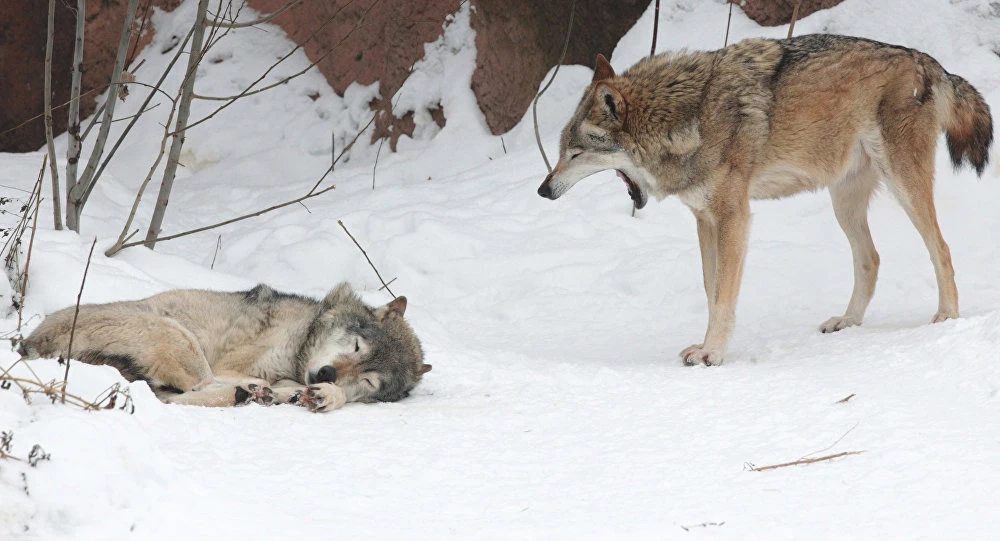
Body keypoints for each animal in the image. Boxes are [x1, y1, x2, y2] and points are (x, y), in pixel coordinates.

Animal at [18, 282, 431, 412]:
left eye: (370, 380)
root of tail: (29, 343)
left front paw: (327, 394)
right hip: (177, 335)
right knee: (194, 393)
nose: (327, 373)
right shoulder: (231, 365)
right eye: (358, 346)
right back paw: (247, 394)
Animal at [537, 34, 993, 365]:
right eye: (561, 151)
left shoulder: (734, 216)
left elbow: (724, 295)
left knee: (941, 248)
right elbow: (712, 290)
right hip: (843, 203)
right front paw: (706, 345)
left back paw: (946, 317)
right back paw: (848, 321)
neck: (687, 119)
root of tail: (926, 60)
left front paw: (712, 354)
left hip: (903, 185)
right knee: (871, 259)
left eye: (575, 153)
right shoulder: (705, 220)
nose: (543, 190)